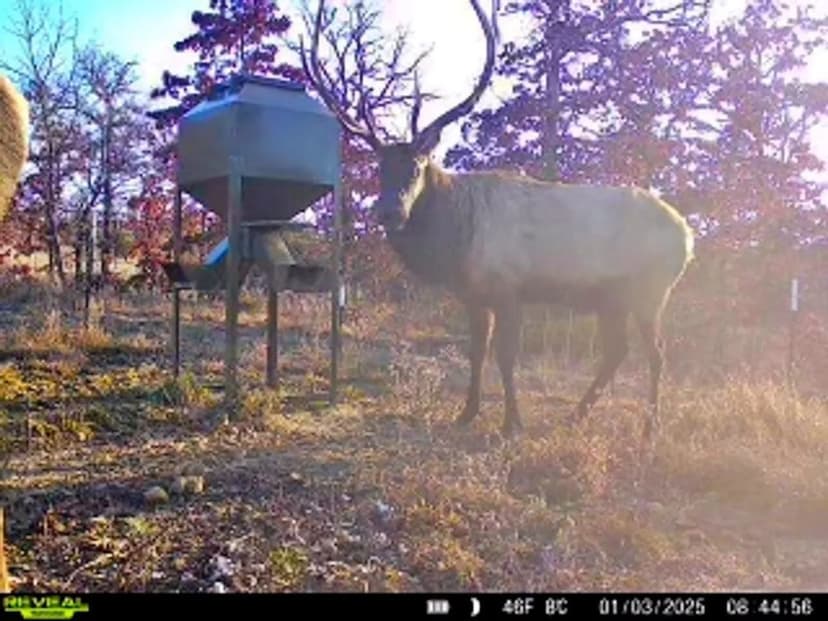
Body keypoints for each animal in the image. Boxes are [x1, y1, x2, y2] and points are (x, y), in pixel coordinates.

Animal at [301, 0, 694, 439]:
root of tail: (688, 235)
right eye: (380, 166)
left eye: (418, 166)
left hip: (651, 290)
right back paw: (576, 415)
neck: (455, 245)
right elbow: (476, 352)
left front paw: (512, 423)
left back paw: (649, 427)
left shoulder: (509, 287)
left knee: (656, 353)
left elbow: (506, 355)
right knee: (617, 351)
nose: (389, 209)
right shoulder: (474, 295)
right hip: (611, 297)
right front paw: (467, 413)